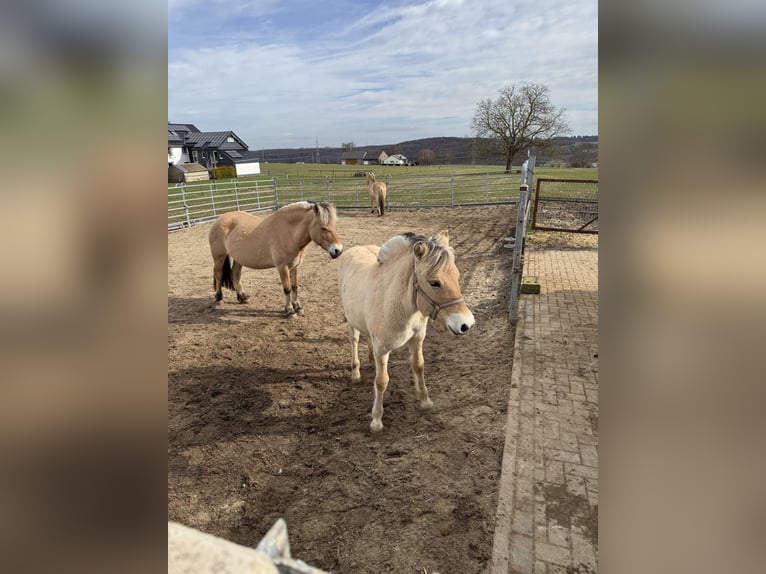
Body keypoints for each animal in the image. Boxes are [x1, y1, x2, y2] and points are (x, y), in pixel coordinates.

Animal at [208, 201, 343, 317]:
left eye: (335, 226)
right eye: (323, 228)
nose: (338, 250)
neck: (289, 232)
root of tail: (219, 219)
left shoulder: (295, 266)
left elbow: (295, 287)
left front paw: (298, 307)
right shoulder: (282, 267)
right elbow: (287, 289)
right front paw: (289, 310)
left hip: (239, 259)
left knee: (235, 275)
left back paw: (242, 297)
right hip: (219, 257)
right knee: (218, 274)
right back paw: (219, 299)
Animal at [337, 230, 475, 431]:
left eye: (457, 277)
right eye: (434, 282)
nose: (466, 324)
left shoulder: (417, 339)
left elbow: (418, 366)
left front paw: (425, 401)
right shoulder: (382, 350)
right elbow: (381, 381)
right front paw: (376, 420)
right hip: (352, 322)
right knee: (354, 340)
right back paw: (355, 373)